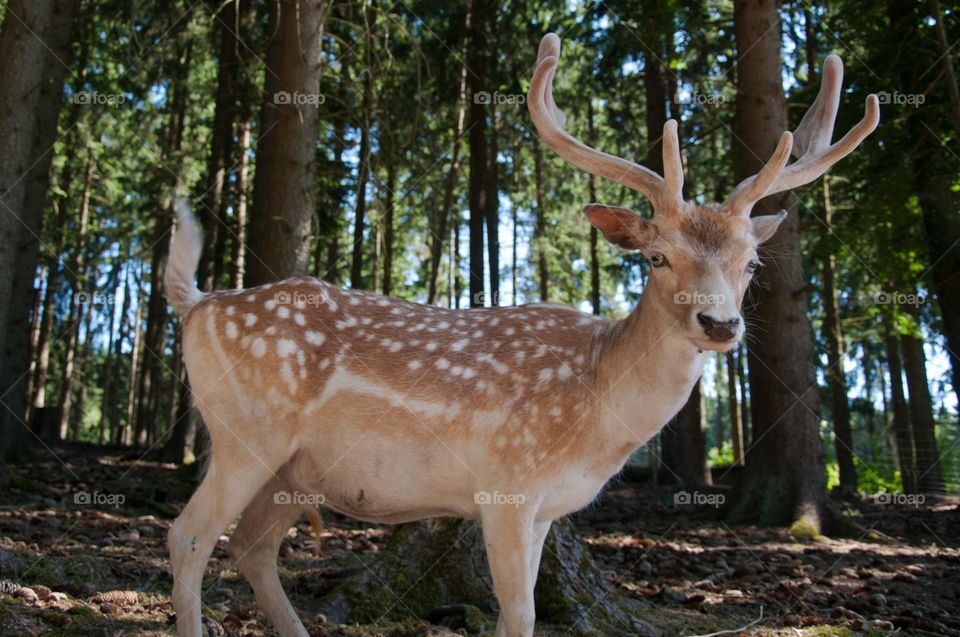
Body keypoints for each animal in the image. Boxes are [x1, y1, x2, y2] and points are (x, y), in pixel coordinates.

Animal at [165, 33, 878, 637]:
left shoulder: (543, 509)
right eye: (657, 257)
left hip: (295, 468)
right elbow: (520, 614)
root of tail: (198, 304)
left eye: (751, 263)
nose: (720, 324)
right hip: (246, 432)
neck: (597, 406)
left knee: (251, 546)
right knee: (189, 537)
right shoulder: (506, 482)